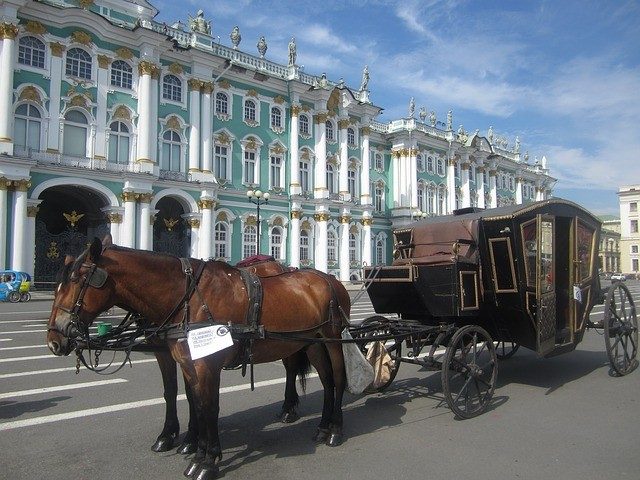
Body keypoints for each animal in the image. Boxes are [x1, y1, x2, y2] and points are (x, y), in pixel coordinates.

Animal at [47, 236, 350, 480]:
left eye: (76, 281)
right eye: (57, 284)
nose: (54, 340)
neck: (187, 299)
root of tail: (329, 279)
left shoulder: (208, 364)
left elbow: (209, 406)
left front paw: (207, 461)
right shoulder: (185, 361)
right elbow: (191, 400)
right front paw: (191, 448)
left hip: (332, 339)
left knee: (338, 377)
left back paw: (334, 429)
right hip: (310, 343)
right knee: (325, 381)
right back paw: (321, 426)